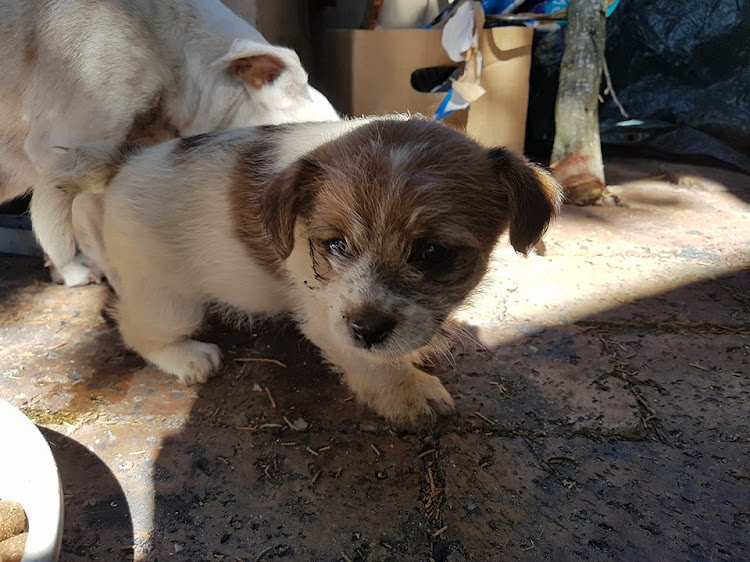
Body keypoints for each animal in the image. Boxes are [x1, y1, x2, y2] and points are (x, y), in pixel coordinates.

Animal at [53, 118, 560, 424]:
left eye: (433, 253)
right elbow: (372, 365)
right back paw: (188, 358)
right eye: (336, 244)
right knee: (132, 328)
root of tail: (126, 160)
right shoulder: (327, 316)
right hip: (171, 301)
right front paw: (409, 393)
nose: (367, 329)